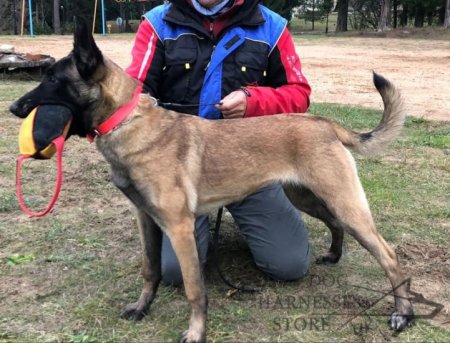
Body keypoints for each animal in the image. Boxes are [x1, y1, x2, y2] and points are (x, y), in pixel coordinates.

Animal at [8, 20, 414, 342]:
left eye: (53, 80)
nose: (14, 108)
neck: (127, 120)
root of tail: (324, 122)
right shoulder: (147, 220)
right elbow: (150, 270)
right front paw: (142, 307)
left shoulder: (179, 228)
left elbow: (194, 290)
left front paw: (196, 332)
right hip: (309, 197)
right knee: (335, 224)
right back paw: (334, 254)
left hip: (343, 202)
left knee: (389, 255)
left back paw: (403, 314)